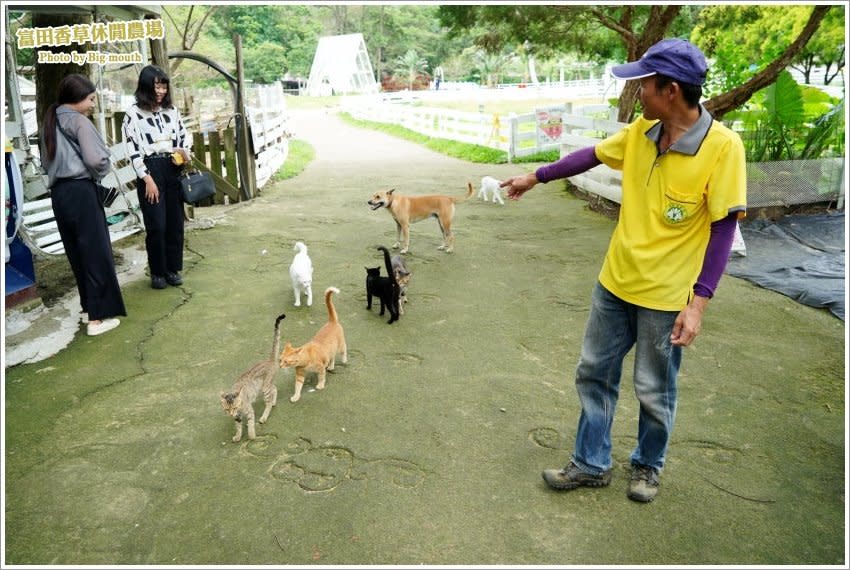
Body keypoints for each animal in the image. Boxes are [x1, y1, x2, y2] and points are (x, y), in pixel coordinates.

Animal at [219, 312, 284, 442]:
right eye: (227, 409)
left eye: (235, 407)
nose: (231, 414)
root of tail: (269, 360)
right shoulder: (237, 417)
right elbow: (238, 427)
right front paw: (238, 436)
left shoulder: (249, 411)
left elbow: (250, 425)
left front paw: (252, 436)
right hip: (267, 385)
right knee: (274, 388)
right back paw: (274, 402)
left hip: (265, 388)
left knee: (268, 402)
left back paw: (264, 416)